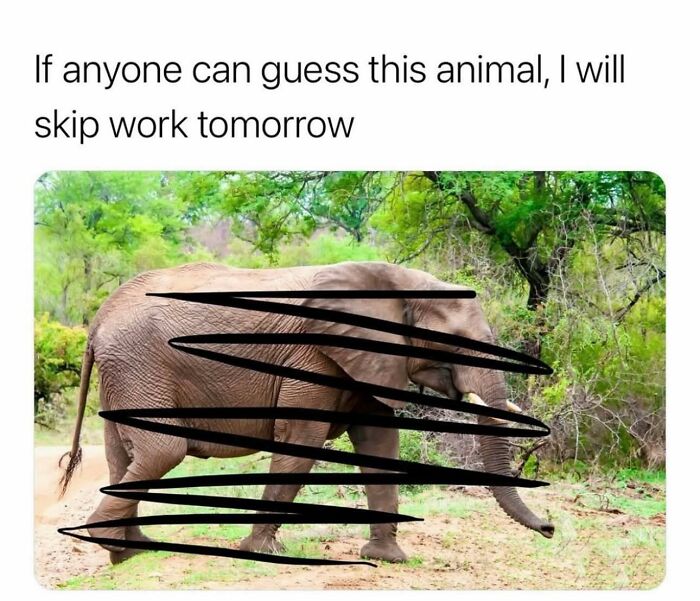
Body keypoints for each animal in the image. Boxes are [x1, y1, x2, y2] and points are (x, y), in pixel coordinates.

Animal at [60, 261, 554, 565]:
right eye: (453, 341)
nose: (550, 528)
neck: (397, 282)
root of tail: (99, 318)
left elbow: (379, 445)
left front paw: (386, 559)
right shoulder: (313, 356)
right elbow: (302, 442)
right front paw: (260, 552)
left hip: (125, 372)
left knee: (123, 457)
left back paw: (136, 551)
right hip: (139, 365)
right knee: (162, 452)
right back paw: (118, 548)